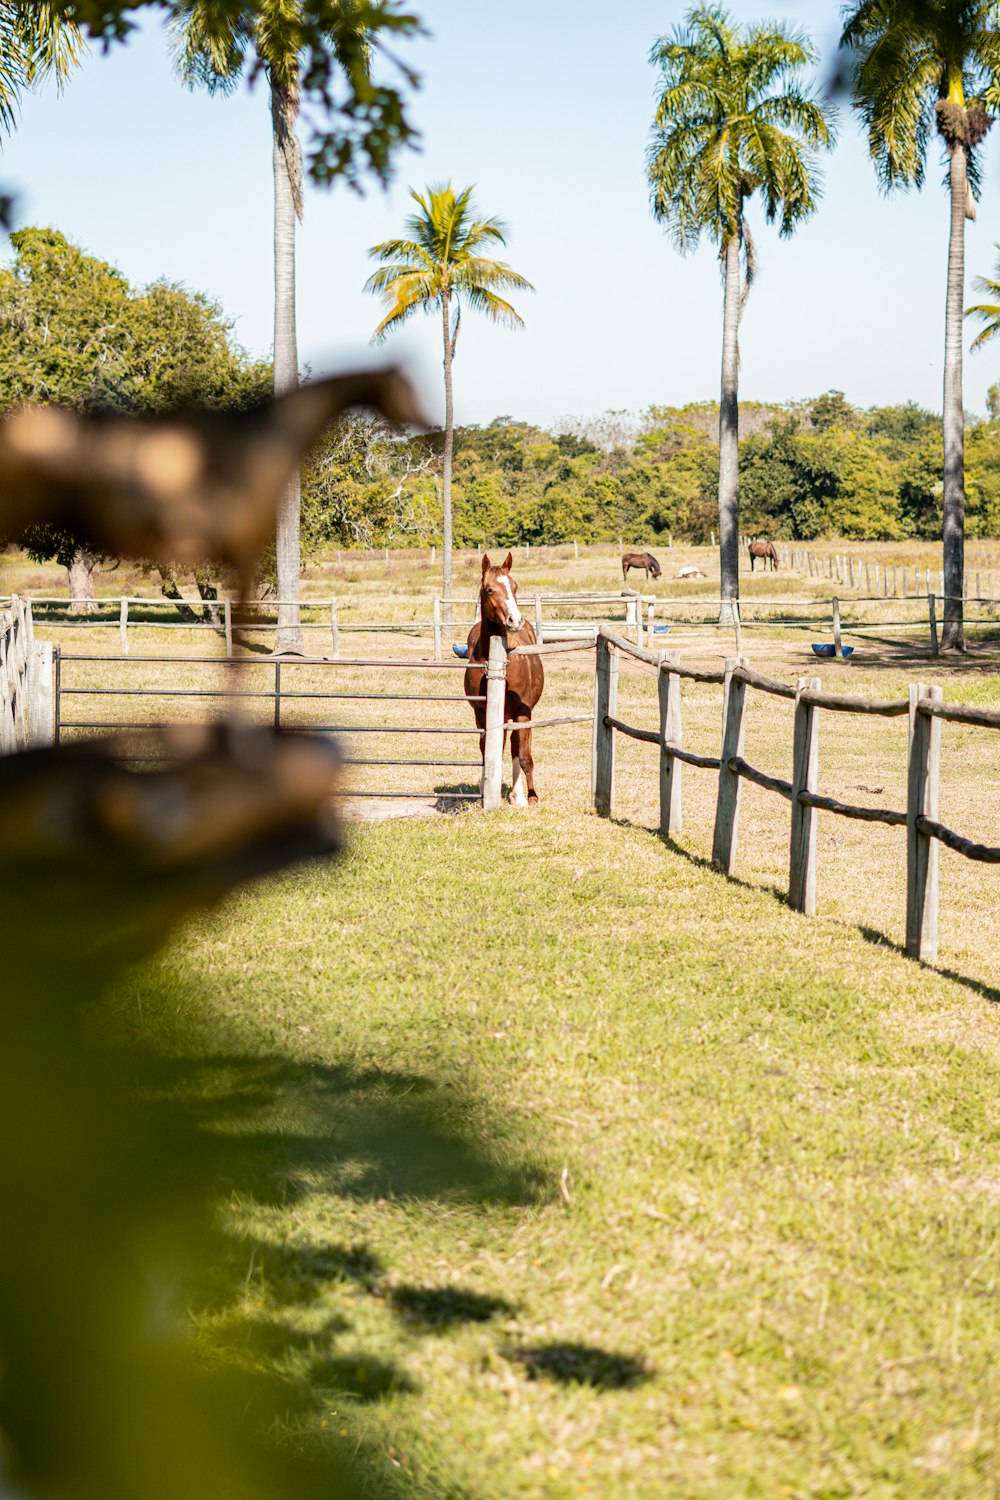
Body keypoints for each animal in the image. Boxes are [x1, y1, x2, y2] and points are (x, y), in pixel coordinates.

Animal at [464, 552, 542, 804]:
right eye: (489, 589)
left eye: (514, 586)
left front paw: (526, 798)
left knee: (518, 748)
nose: (514, 620)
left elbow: (522, 754)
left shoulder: (522, 713)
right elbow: (488, 750)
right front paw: (486, 787)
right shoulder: (481, 714)